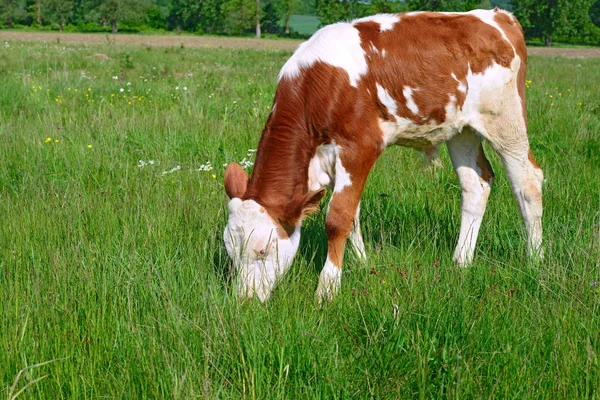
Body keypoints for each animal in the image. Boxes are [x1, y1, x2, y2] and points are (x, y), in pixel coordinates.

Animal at [224, 8, 544, 304]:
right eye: (230, 250)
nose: (245, 300)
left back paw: (535, 259)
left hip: (506, 120)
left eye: (263, 249)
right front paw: (362, 263)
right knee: (475, 186)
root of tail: (496, 15)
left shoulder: (359, 147)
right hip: (461, 130)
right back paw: (461, 261)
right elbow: (352, 215)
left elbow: (338, 218)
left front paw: (327, 289)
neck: (318, 85)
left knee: (528, 182)